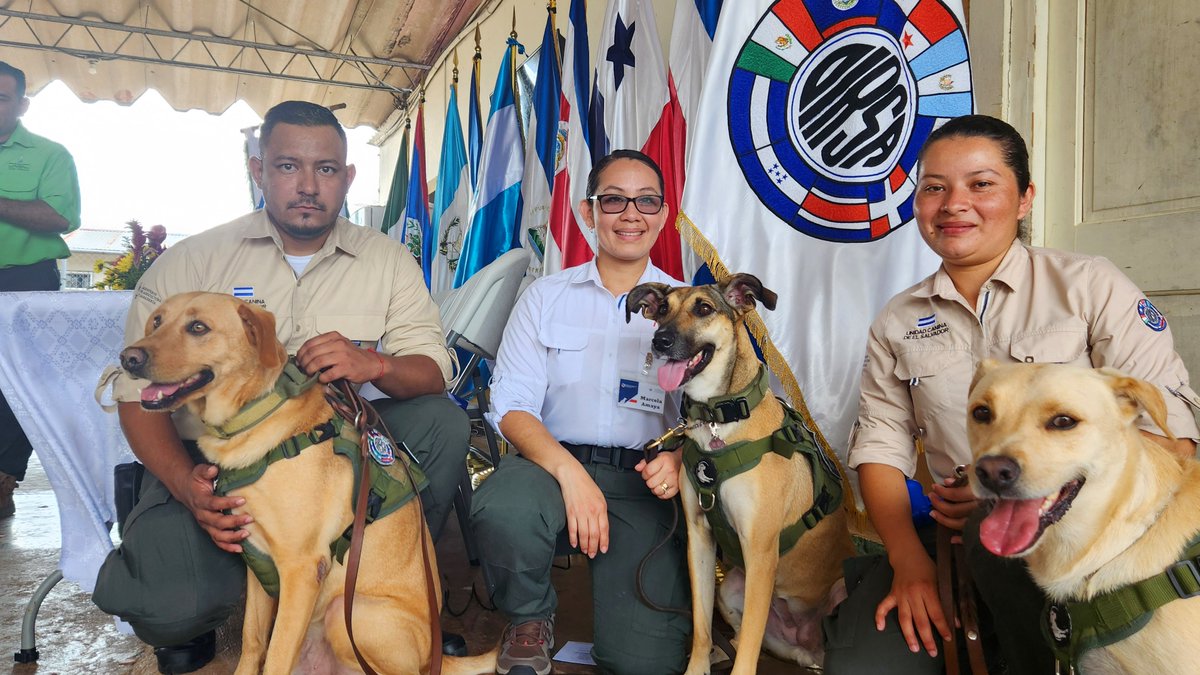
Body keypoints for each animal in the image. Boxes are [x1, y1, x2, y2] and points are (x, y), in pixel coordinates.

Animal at [119, 291, 494, 672]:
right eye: (156, 321)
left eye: (198, 327)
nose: (128, 358)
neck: (252, 415)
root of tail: (434, 656)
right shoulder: (257, 560)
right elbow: (253, 641)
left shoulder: (301, 568)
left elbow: (276, 657)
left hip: (346, 615)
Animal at [628, 270, 854, 667]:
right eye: (662, 310)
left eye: (703, 308)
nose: (661, 340)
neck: (718, 418)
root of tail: (806, 643)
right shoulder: (700, 539)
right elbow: (702, 627)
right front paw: (698, 666)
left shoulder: (761, 553)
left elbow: (747, 654)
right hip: (732, 589)